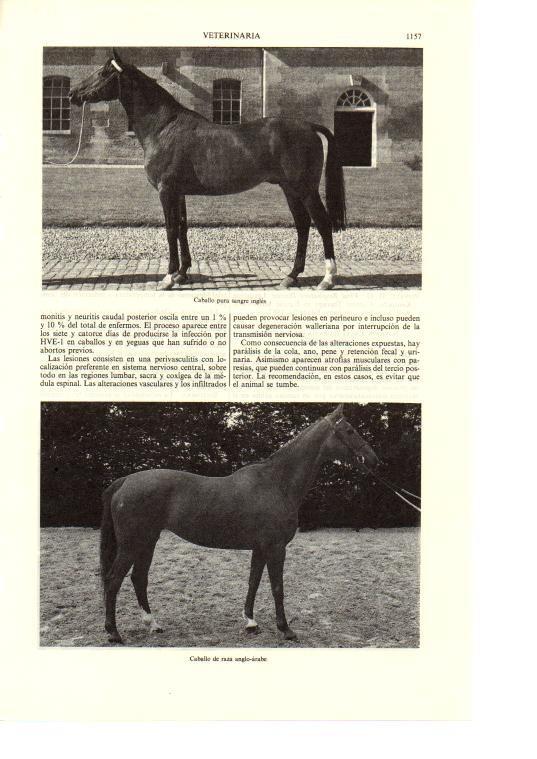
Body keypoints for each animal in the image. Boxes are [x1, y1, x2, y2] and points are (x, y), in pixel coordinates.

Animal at [69, 50, 347, 291]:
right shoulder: (179, 192)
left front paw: (168, 277)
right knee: (303, 225)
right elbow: (182, 227)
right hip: (290, 189)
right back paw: (291, 275)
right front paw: (182, 273)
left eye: (104, 72)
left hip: (306, 189)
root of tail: (308, 126)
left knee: (322, 224)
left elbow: (170, 230)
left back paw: (327, 278)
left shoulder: (166, 191)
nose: (73, 93)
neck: (163, 127)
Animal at [99, 404, 378, 644]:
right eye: (350, 431)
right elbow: (277, 587)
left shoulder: (260, 548)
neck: (277, 483)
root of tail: (125, 481)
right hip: (133, 544)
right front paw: (285, 629)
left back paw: (153, 624)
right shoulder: (276, 548)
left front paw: (251, 622)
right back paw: (113, 633)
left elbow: (253, 581)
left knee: (138, 578)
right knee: (114, 580)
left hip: (148, 541)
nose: (374, 459)